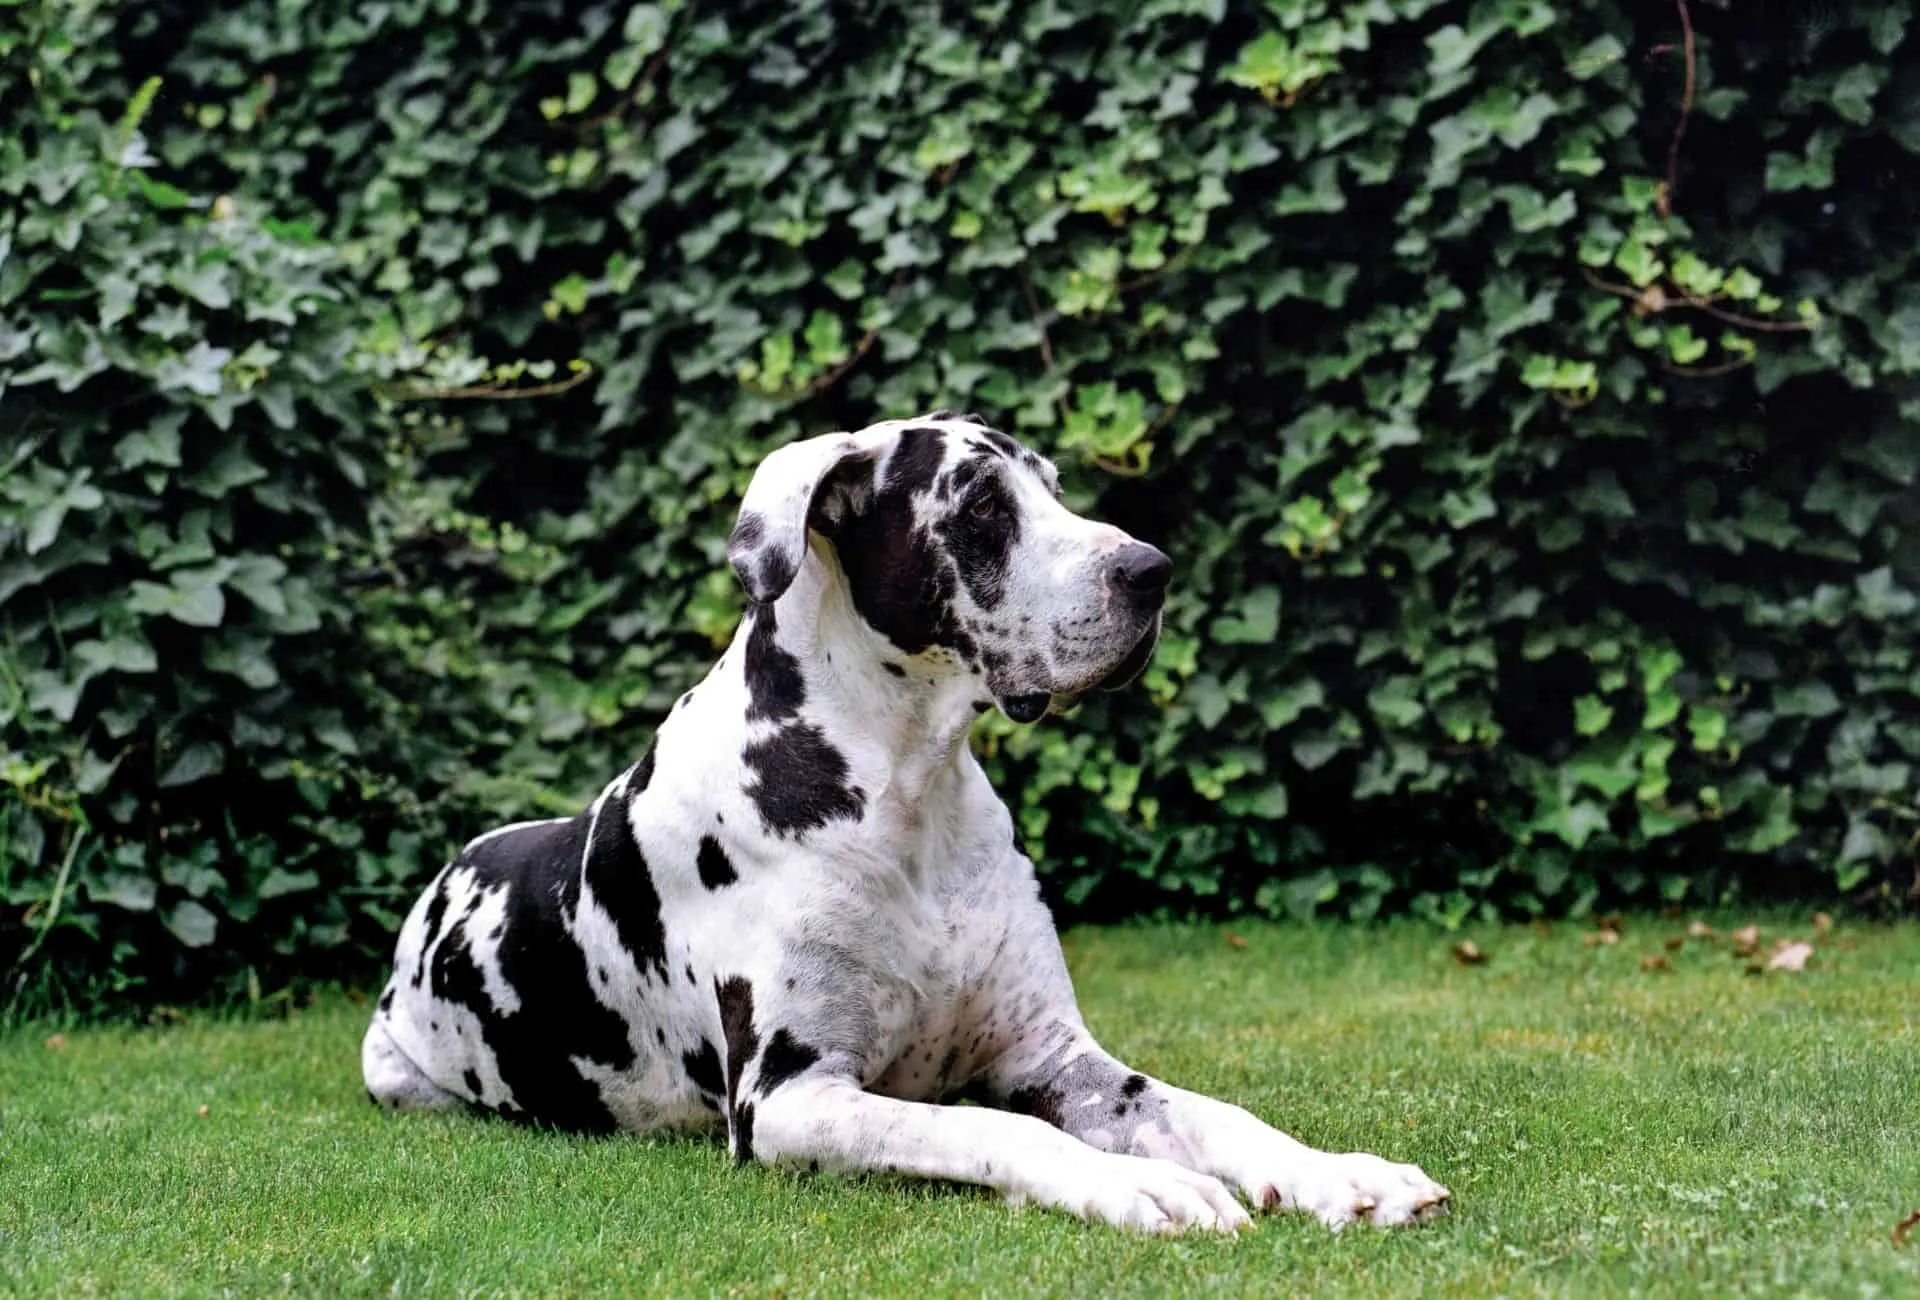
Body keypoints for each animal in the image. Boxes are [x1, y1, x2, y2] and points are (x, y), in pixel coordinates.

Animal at [360, 410, 1443, 1228]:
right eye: (981, 508)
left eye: (1053, 488)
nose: (1151, 570)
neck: (908, 786)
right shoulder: (792, 1100)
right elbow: (993, 1127)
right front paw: (1138, 1182)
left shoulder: (1057, 1058)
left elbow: (1215, 1111)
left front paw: (1338, 1173)